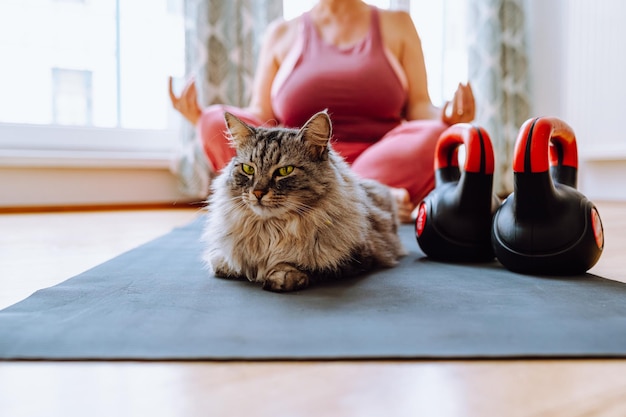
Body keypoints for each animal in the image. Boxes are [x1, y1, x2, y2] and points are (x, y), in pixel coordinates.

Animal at [201, 110, 404, 292]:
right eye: (248, 169)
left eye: (285, 171)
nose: (258, 192)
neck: (272, 229)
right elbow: (223, 260)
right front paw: (231, 266)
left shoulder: (359, 256)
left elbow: (309, 265)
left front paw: (282, 275)